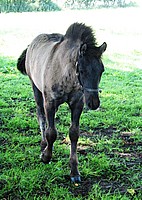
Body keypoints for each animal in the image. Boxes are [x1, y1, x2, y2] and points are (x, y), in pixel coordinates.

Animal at [17, 22, 106, 183]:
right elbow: (51, 132)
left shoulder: (77, 104)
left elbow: (74, 134)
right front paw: (46, 156)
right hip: (36, 89)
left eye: (101, 70)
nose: (93, 103)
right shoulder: (49, 102)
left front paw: (74, 171)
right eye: (82, 70)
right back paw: (43, 144)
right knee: (41, 117)